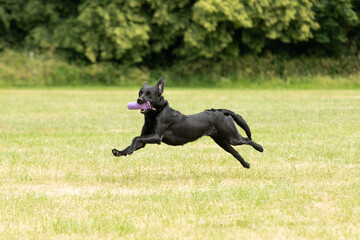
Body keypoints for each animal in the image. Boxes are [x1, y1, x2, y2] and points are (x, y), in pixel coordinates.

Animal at [111, 77, 262, 169]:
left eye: (149, 94)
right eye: (140, 92)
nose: (139, 100)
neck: (154, 114)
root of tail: (221, 111)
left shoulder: (156, 137)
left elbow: (135, 138)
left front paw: (129, 150)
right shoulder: (145, 140)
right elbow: (136, 141)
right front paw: (121, 152)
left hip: (232, 137)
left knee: (248, 139)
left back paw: (260, 148)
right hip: (222, 141)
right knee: (235, 152)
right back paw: (246, 164)